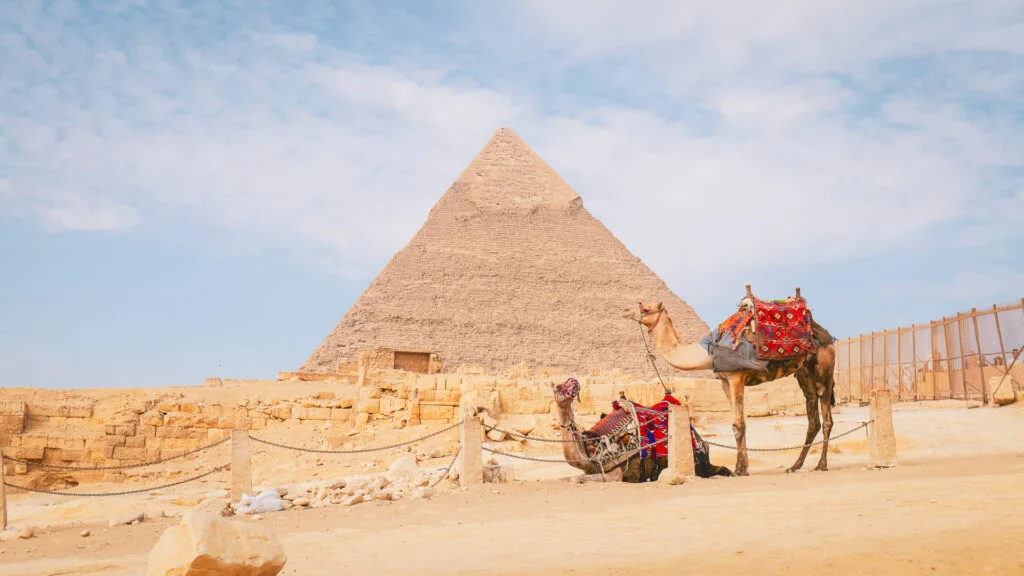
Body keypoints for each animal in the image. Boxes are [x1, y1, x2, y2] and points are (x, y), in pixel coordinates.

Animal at [552, 378, 732, 483]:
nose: (575, 384)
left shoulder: (615, 474)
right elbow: (572, 478)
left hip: (698, 461)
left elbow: (577, 479)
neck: (593, 449)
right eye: (558, 387)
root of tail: (701, 440)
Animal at [628, 286, 837, 477]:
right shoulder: (725, 381)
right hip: (804, 373)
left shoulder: (736, 377)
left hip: (825, 368)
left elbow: (737, 424)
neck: (709, 350)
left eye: (645, 308)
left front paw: (738, 469)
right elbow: (740, 422)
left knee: (826, 417)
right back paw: (795, 466)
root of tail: (828, 337)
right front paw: (744, 467)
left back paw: (822, 464)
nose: (626, 311)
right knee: (813, 418)